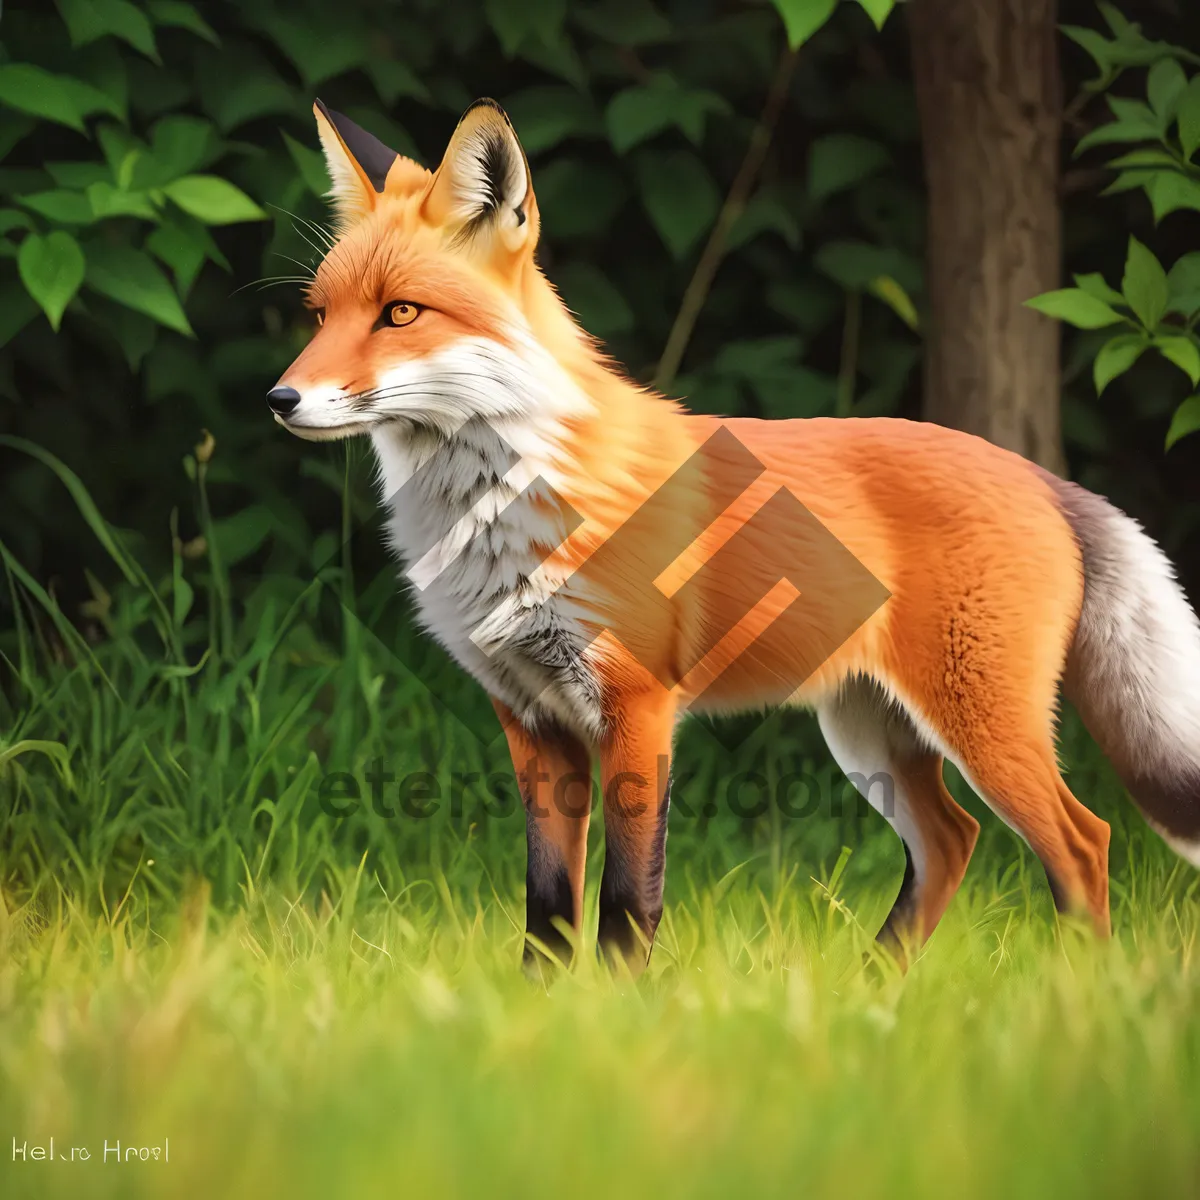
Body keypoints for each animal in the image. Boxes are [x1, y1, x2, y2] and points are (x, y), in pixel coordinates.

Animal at [270, 98, 1200, 969]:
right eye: (319, 316)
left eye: (400, 313)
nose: (281, 400)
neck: (499, 515)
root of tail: (1045, 476)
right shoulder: (531, 719)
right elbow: (548, 909)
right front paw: (541, 1014)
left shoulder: (637, 705)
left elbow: (627, 901)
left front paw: (616, 1009)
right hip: (869, 730)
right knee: (952, 841)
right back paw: (874, 990)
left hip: (980, 724)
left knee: (1083, 844)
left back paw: (1078, 990)